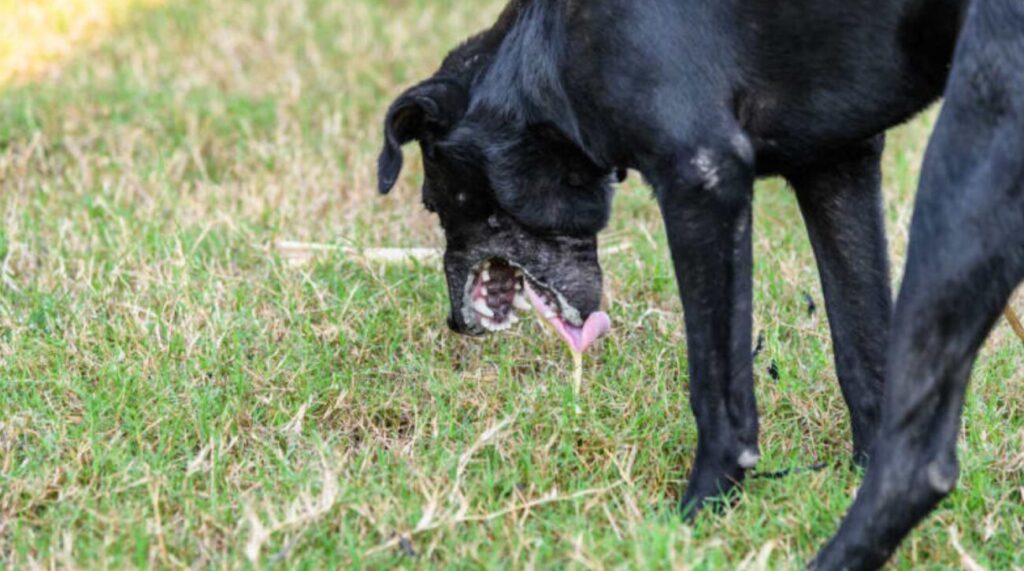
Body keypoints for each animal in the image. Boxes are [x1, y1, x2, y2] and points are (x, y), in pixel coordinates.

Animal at [380, 0, 962, 552]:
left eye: (433, 203)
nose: (454, 323)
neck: (546, 50)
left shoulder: (703, 182)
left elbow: (717, 389)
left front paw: (698, 515)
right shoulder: (837, 164)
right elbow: (863, 354)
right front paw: (859, 479)